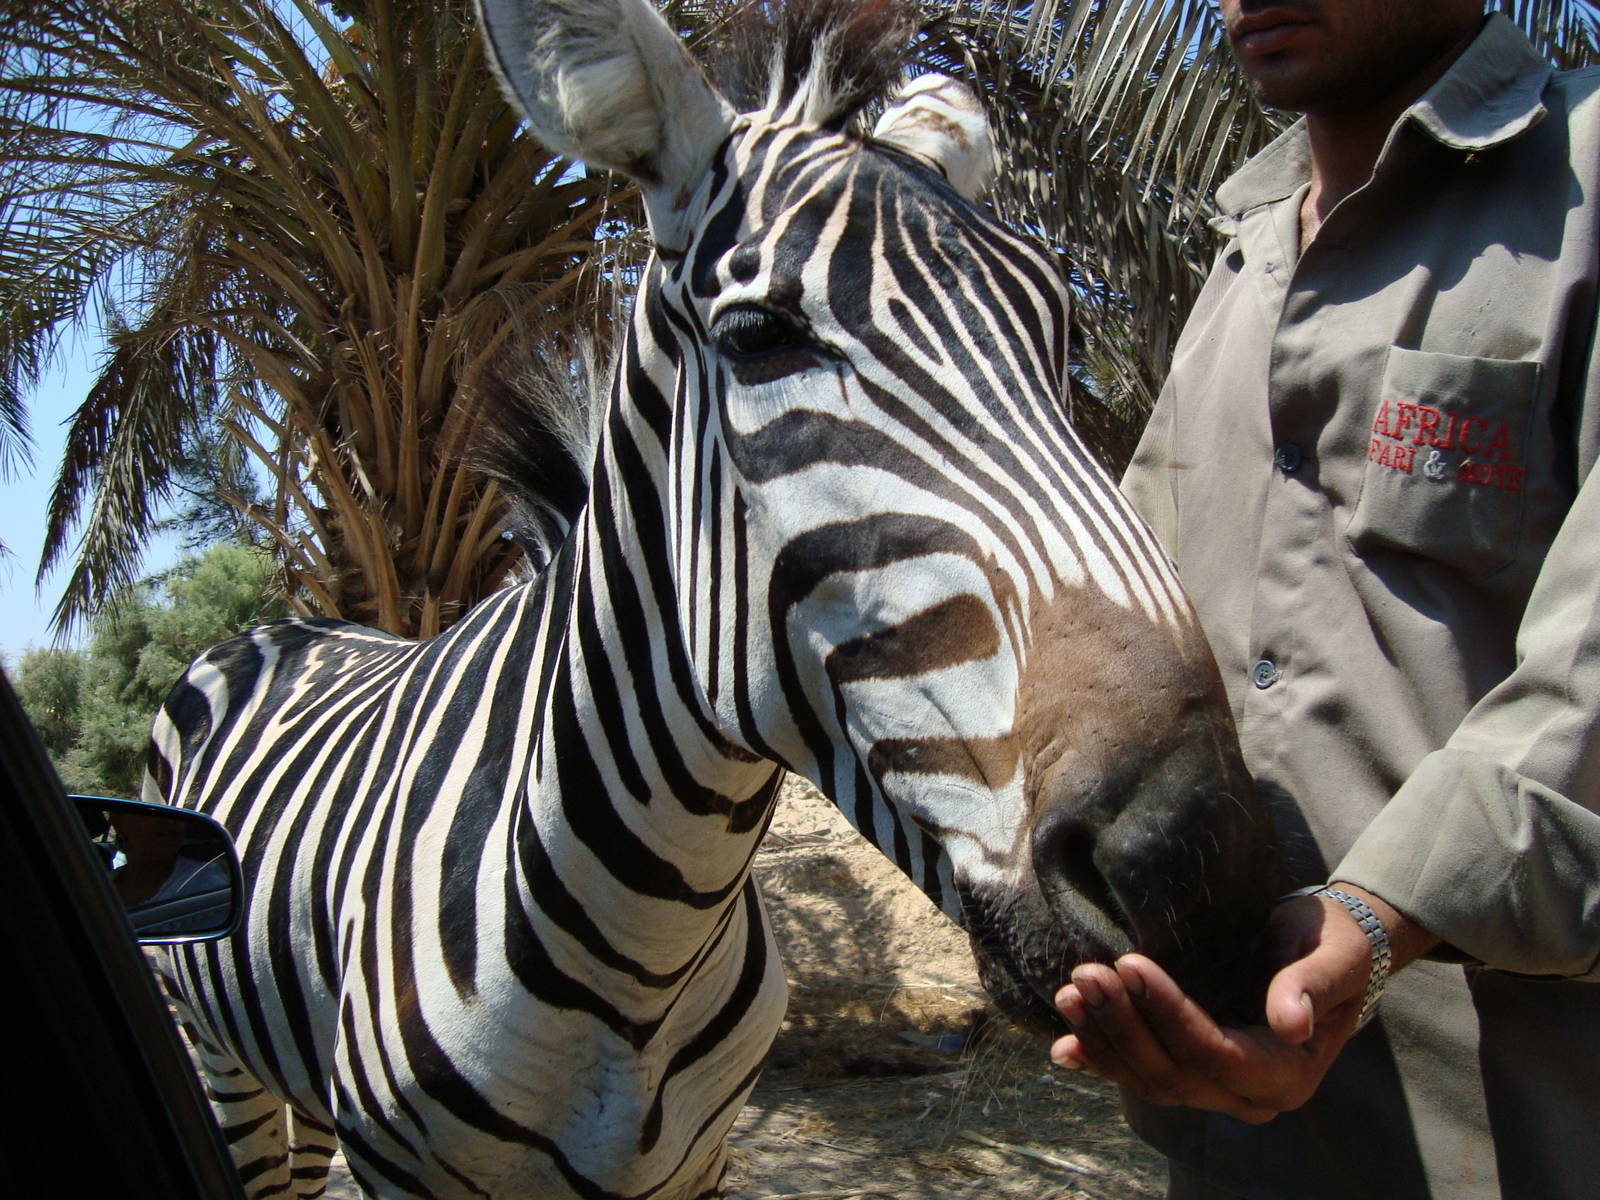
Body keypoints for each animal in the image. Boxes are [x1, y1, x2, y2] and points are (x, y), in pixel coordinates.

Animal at [148, 0, 1281, 1196]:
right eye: (756, 338)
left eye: (1059, 330)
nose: (1201, 865)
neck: (647, 943)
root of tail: (278, 629)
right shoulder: (398, 1170)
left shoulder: (694, 1164)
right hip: (217, 1055)